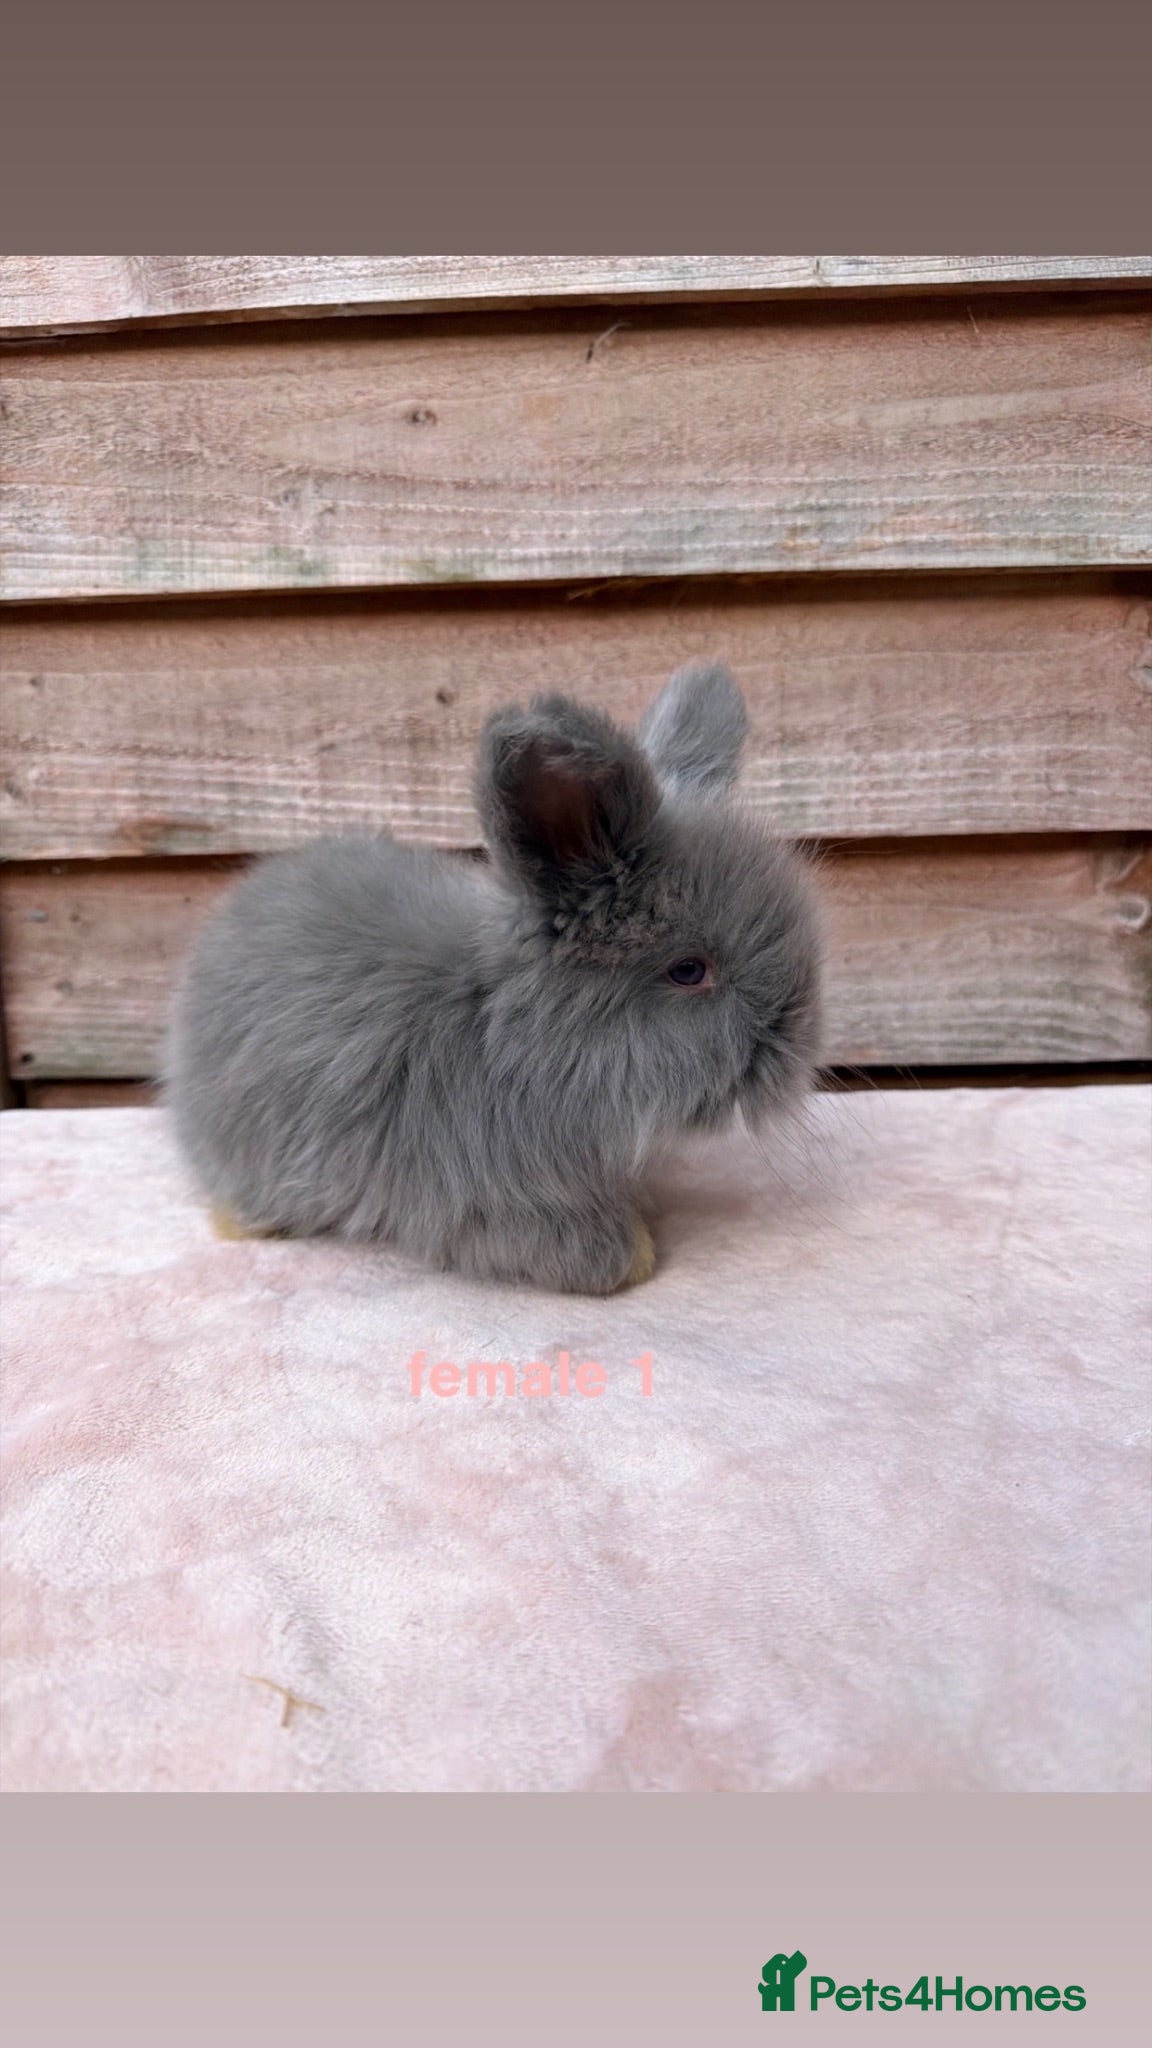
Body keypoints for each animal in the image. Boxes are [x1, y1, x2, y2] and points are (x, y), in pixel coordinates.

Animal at [164, 662, 823, 1294]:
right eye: (689, 970)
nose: (801, 1047)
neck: (505, 1038)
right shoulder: (476, 1198)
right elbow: (577, 1250)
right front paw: (634, 1254)